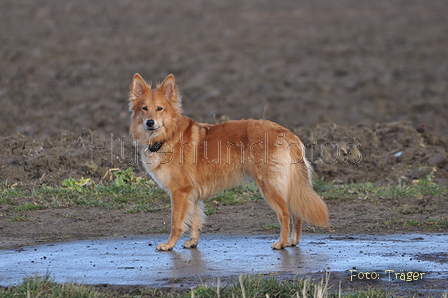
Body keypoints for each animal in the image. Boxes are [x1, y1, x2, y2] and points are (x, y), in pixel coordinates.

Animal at [128, 73, 328, 250]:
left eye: (159, 108)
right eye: (144, 108)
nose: (150, 123)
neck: (168, 135)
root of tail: (286, 133)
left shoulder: (180, 192)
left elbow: (176, 222)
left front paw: (169, 245)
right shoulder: (192, 194)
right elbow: (195, 221)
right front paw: (193, 242)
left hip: (268, 185)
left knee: (285, 213)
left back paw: (282, 243)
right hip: (287, 185)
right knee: (297, 212)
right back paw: (293, 241)